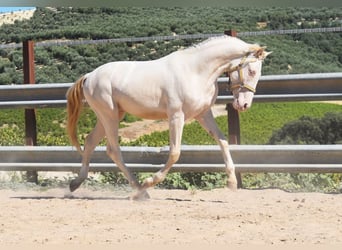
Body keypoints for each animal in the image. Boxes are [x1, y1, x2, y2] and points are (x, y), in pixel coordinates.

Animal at [65, 35, 272, 199]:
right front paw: (150, 181)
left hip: (110, 115)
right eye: (252, 71)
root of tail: (89, 76)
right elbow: (174, 152)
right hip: (109, 114)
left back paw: (75, 183)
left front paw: (232, 183)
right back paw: (141, 190)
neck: (196, 72)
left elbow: (223, 141)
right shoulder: (176, 116)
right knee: (113, 150)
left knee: (90, 141)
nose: (244, 105)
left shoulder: (203, 114)